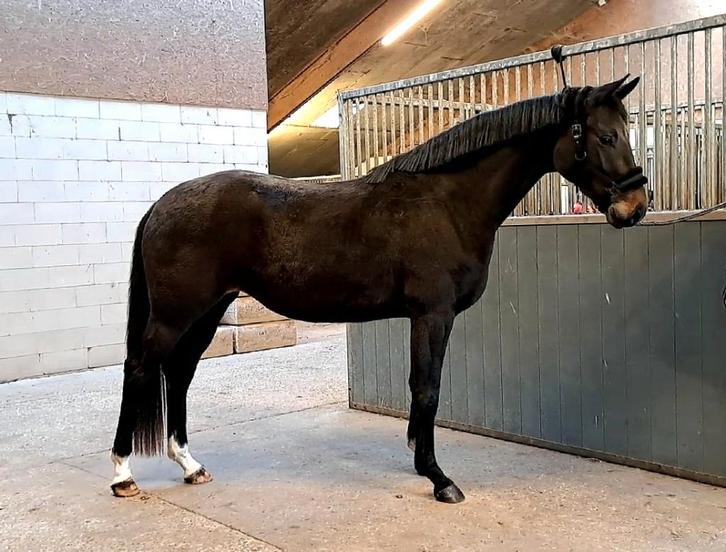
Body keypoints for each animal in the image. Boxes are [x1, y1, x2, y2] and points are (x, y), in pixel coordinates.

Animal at [110, 75, 648, 503]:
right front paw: (438, 478)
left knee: (179, 374)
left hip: (207, 311)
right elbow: (427, 388)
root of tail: (163, 203)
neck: (448, 203)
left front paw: (418, 457)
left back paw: (190, 466)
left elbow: (424, 388)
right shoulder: (433, 314)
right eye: (606, 135)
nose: (637, 207)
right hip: (176, 314)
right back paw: (122, 475)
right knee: (140, 369)